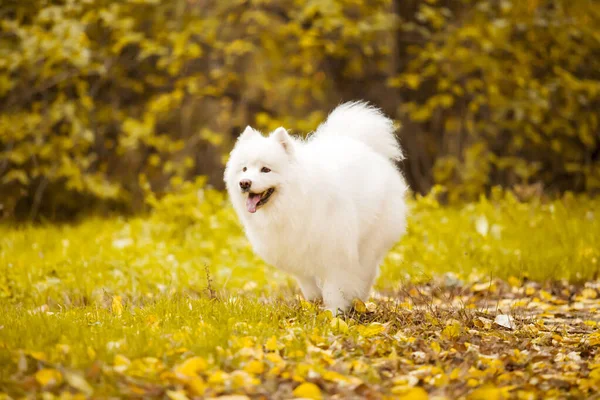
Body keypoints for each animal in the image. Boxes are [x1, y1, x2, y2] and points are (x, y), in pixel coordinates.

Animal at [224, 101, 408, 314]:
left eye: (265, 169)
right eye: (244, 169)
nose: (244, 183)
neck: (294, 203)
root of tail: (361, 144)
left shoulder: (335, 252)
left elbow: (333, 289)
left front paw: (334, 313)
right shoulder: (295, 253)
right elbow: (309, 285)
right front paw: (313, 305)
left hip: (369, 241)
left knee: (367, 270)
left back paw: (359, 298)